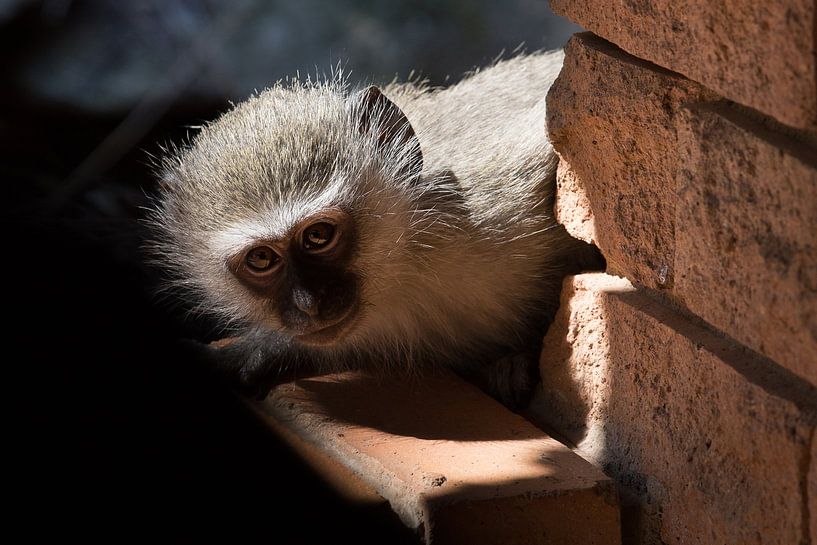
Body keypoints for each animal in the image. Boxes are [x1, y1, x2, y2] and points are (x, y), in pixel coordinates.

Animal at [150, 51, 604, 408]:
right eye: (261, 258)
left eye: (318, 236)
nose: (309, 304)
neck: (406, 262)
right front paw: (248, 356)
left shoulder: (495, 192)